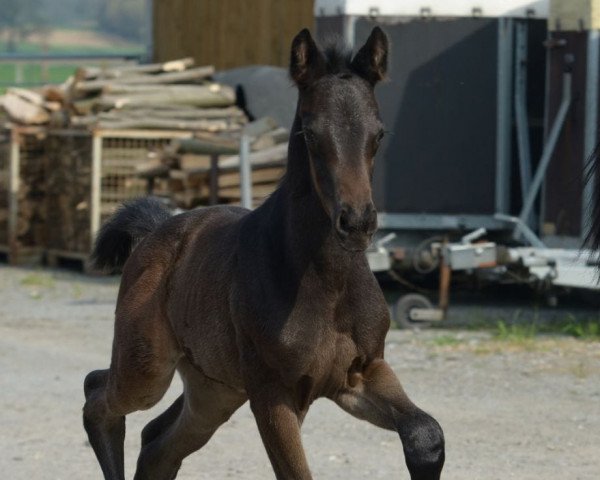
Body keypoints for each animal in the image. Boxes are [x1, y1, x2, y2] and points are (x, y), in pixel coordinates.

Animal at [82, 27, 442, 480]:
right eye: (310, 133)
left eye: (379, 133)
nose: (357, 222)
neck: (325, 283)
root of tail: (156, 231)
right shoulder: (274, 394)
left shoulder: (361, 373)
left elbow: (426, 435)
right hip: (147, 368)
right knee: (98, 394)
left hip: (214, 389)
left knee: (157, 443)